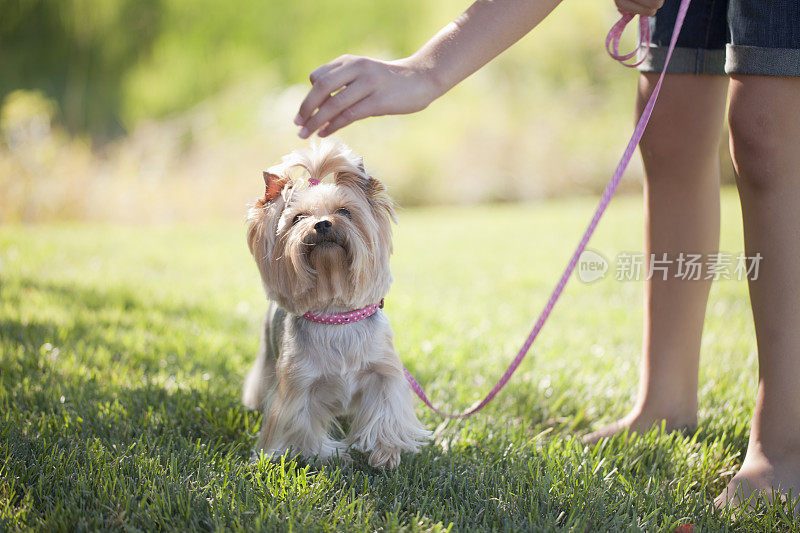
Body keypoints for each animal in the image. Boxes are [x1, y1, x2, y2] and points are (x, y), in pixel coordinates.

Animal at [242, 140, 432, 466]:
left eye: (344, 211)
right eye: (298, 218)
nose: (322, 224)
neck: (335, 316)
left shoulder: (383, 372)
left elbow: (386, 409)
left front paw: (386, 452)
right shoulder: (298, 384)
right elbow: (300, 423)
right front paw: (324, 454)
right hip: (268, 354)